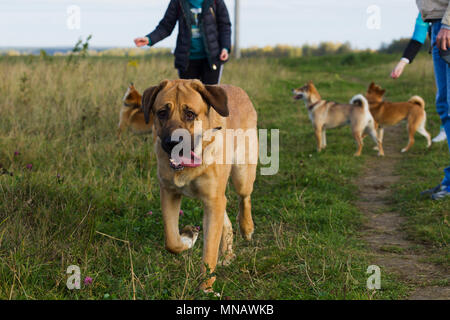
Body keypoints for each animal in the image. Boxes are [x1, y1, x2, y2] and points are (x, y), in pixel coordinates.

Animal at [142, 79, 258, 294]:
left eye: (190, 114)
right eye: (161, 113)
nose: (171, 143)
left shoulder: (213, 201)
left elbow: (209, 251)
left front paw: (206, 287)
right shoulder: (169, 194)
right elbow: (171, 241)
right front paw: (188, 237)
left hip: (242, 174)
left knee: (244, 197)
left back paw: (247, 228)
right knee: (226, 218)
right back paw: (227, 253)